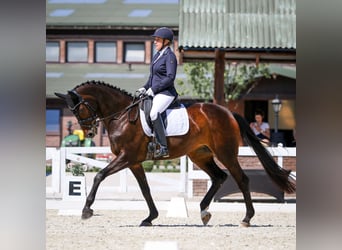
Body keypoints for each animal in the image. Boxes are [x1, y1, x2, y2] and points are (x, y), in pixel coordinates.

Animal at [54, 80, 296, 227]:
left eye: (79, 109)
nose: (89, 132)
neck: (121, 116)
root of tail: (227, 111)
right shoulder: (134, 162)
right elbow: (145, 189)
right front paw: (150, 217)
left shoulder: (127, 157)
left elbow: (99, 175)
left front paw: (86, 210)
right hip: (199, 154)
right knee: (219, 177)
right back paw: (204, 212)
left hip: (225, 153)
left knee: (241, 179)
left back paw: (246, 218)